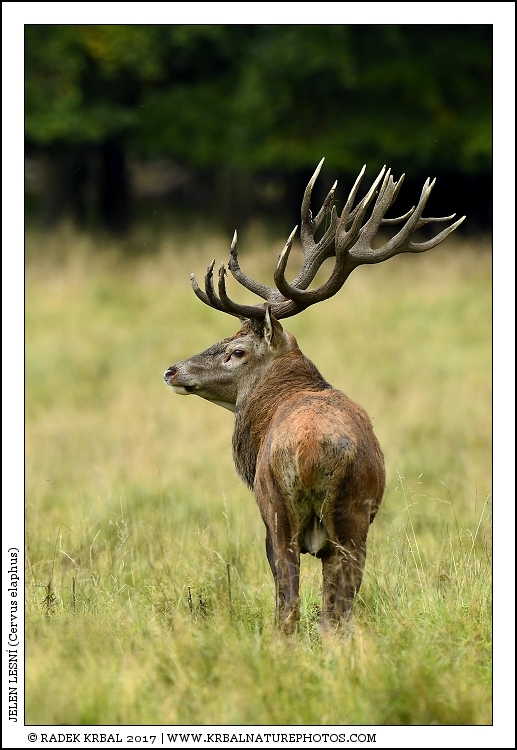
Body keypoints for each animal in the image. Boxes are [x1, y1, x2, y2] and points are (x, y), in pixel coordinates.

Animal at [163, 158, 465, 634]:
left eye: (236, 350)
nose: (172, 370)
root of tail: (311, 451)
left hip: (284, 512)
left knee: (291, 604)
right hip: (351, 522)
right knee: (335, 613)